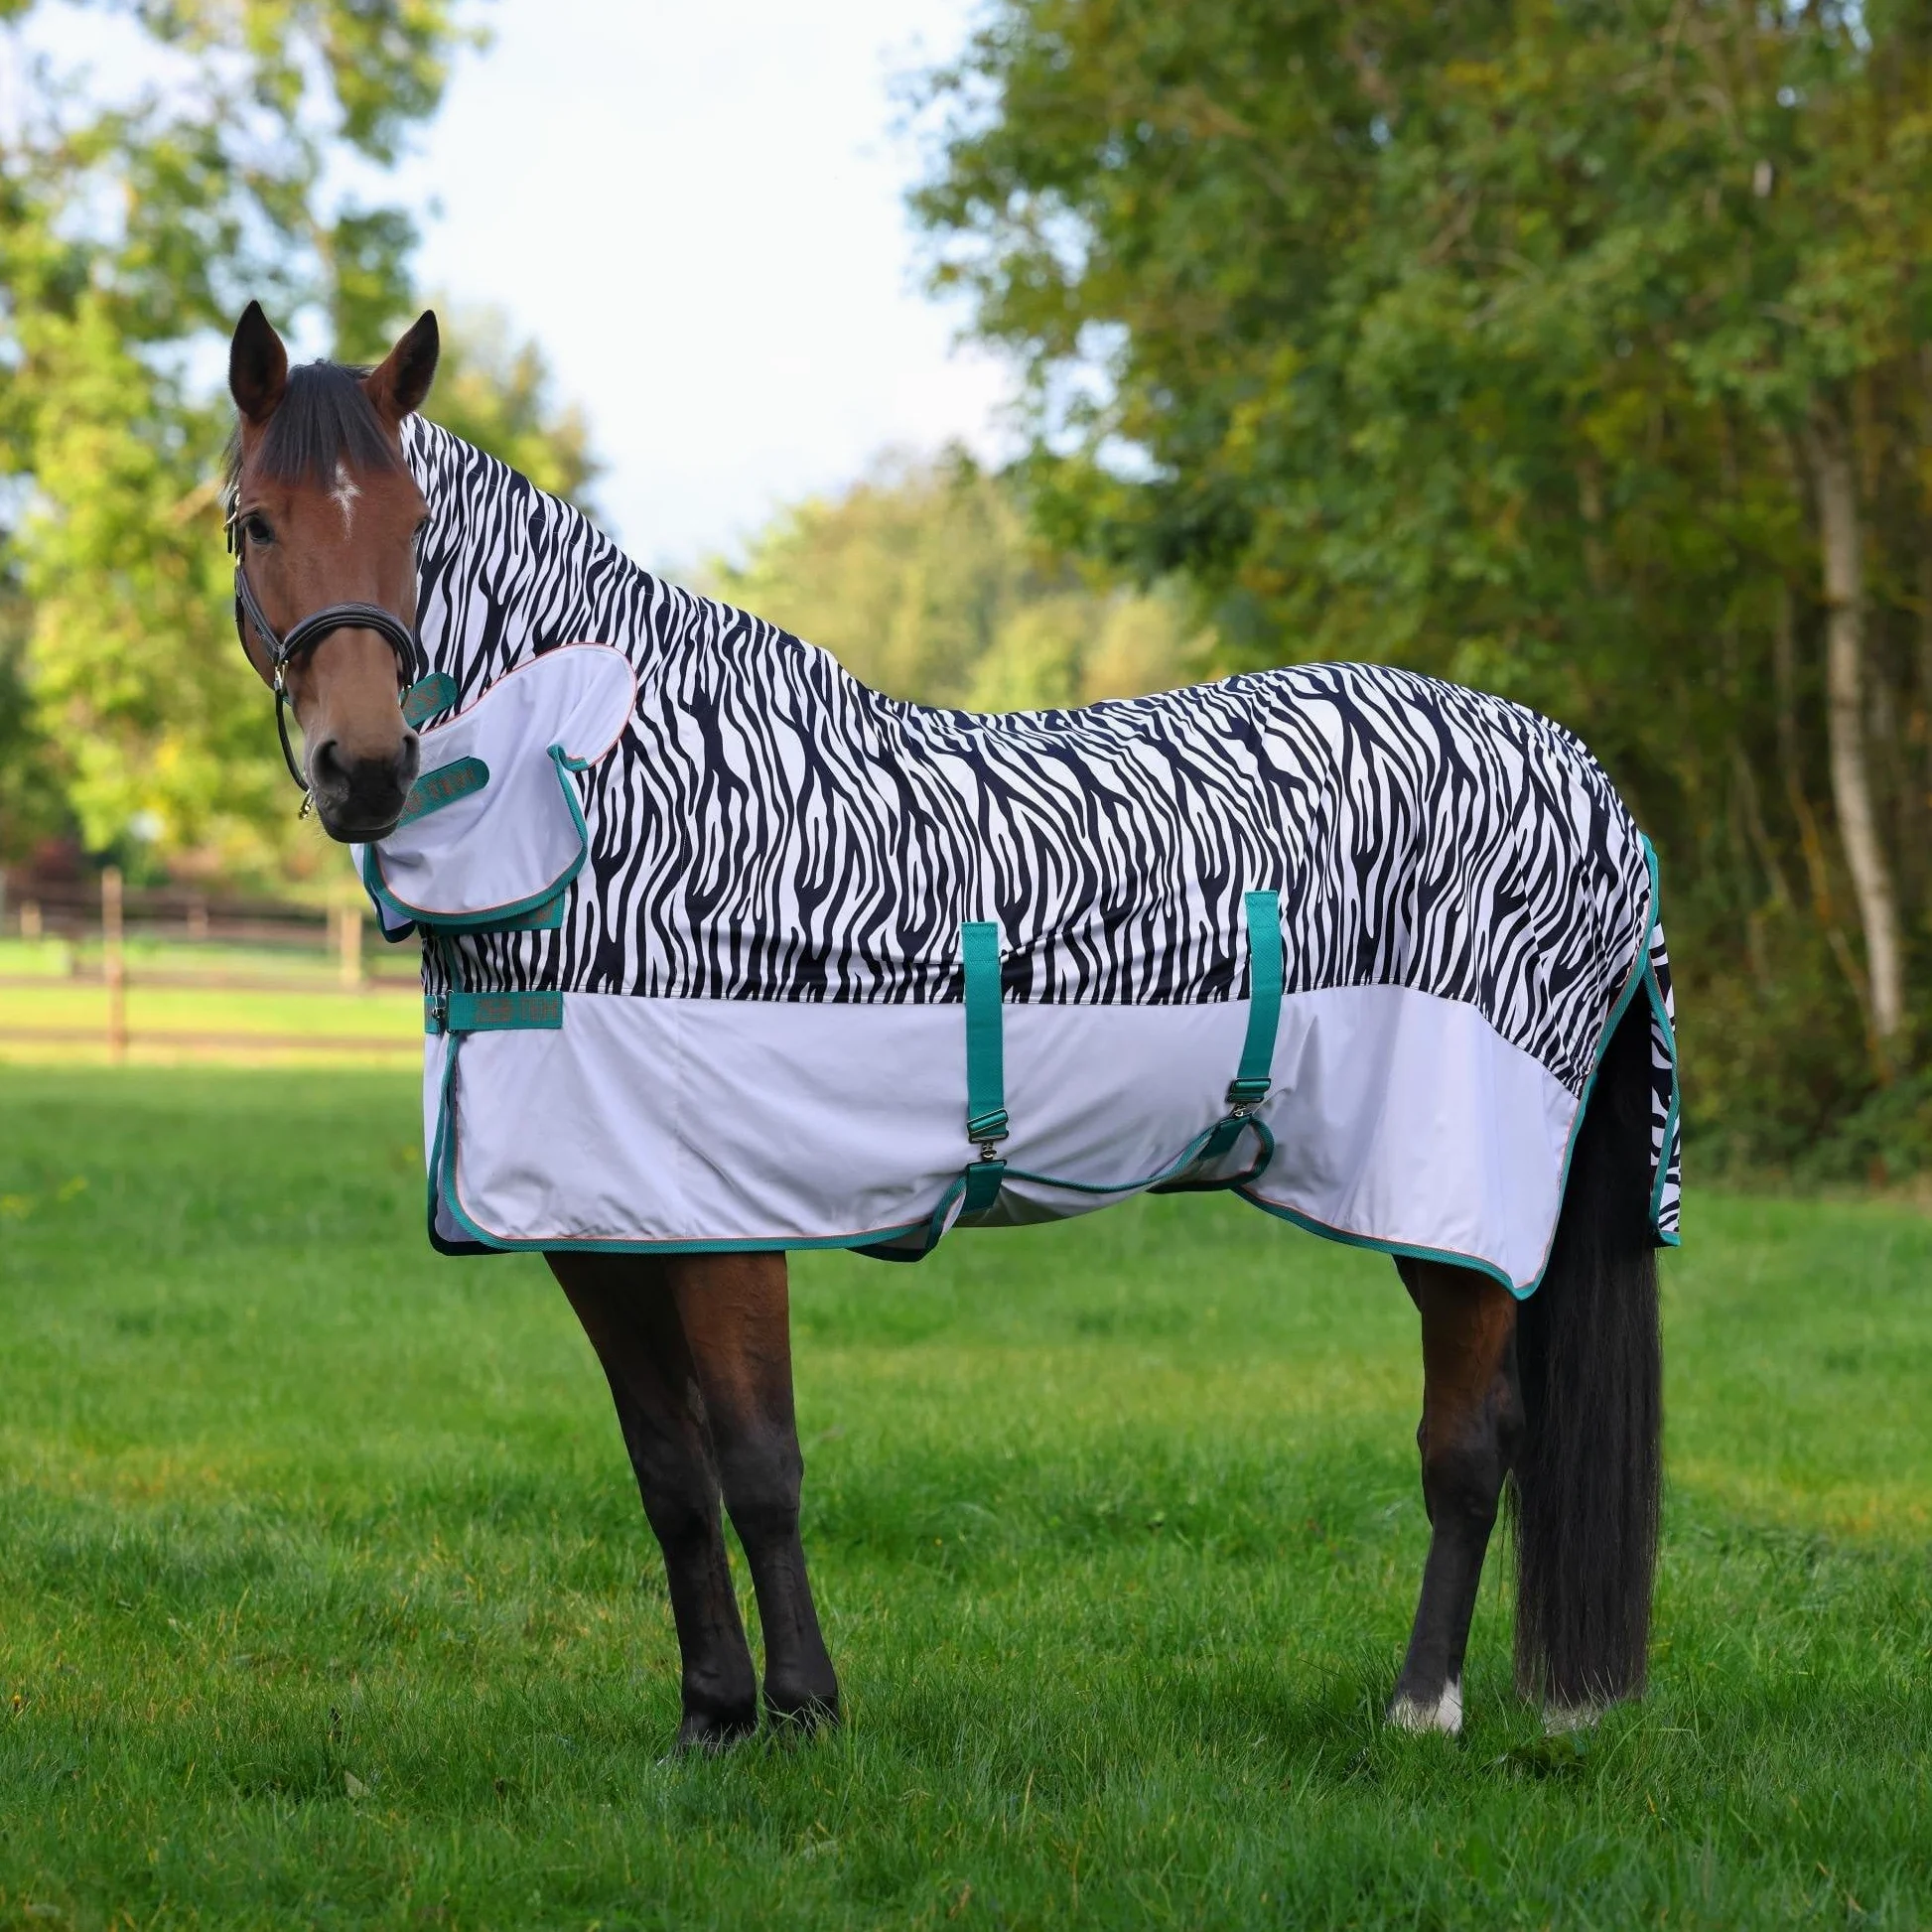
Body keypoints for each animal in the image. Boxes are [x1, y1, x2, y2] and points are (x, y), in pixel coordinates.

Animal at [224, 301, 1669, 1748]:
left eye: (415, 523)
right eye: (253, 521)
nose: (366, 769)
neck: (620, 794)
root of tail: (1586, 782)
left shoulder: (730, 1214)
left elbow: (758, 1462)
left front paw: (804, 1710)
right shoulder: (599, 1224)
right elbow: (670, 1472)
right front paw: (710, 1717)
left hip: (1449, 1196)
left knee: (1468, 1443)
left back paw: (1422, 1704)